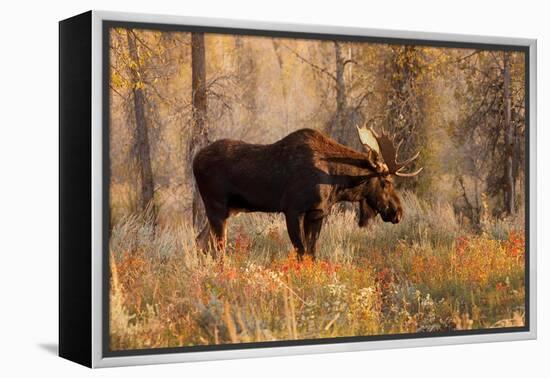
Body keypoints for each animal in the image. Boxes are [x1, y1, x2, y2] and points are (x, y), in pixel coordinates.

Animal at [193, 125, 422, 258]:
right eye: (386, 181)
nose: (398, 212)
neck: (336, 181)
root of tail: (194, 160)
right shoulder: (293, 210)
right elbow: (301, 252)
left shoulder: (317, 213)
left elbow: (312, 253)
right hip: (216, 206)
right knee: (218, 248)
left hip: (229, 210)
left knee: (200, 240)